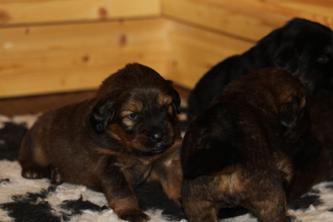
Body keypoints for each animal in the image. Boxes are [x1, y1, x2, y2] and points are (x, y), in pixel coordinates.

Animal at [18, 62, 182, 222]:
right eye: (133, 116)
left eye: (166, 107)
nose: (158, 136)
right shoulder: (109, 163)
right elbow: (122, 191)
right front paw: (131, 211)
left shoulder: (168, 158)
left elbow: (176, 179)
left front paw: (183, 200)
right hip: (35, 141)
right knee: (26, 158)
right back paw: (34, 170)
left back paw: (56, 174)